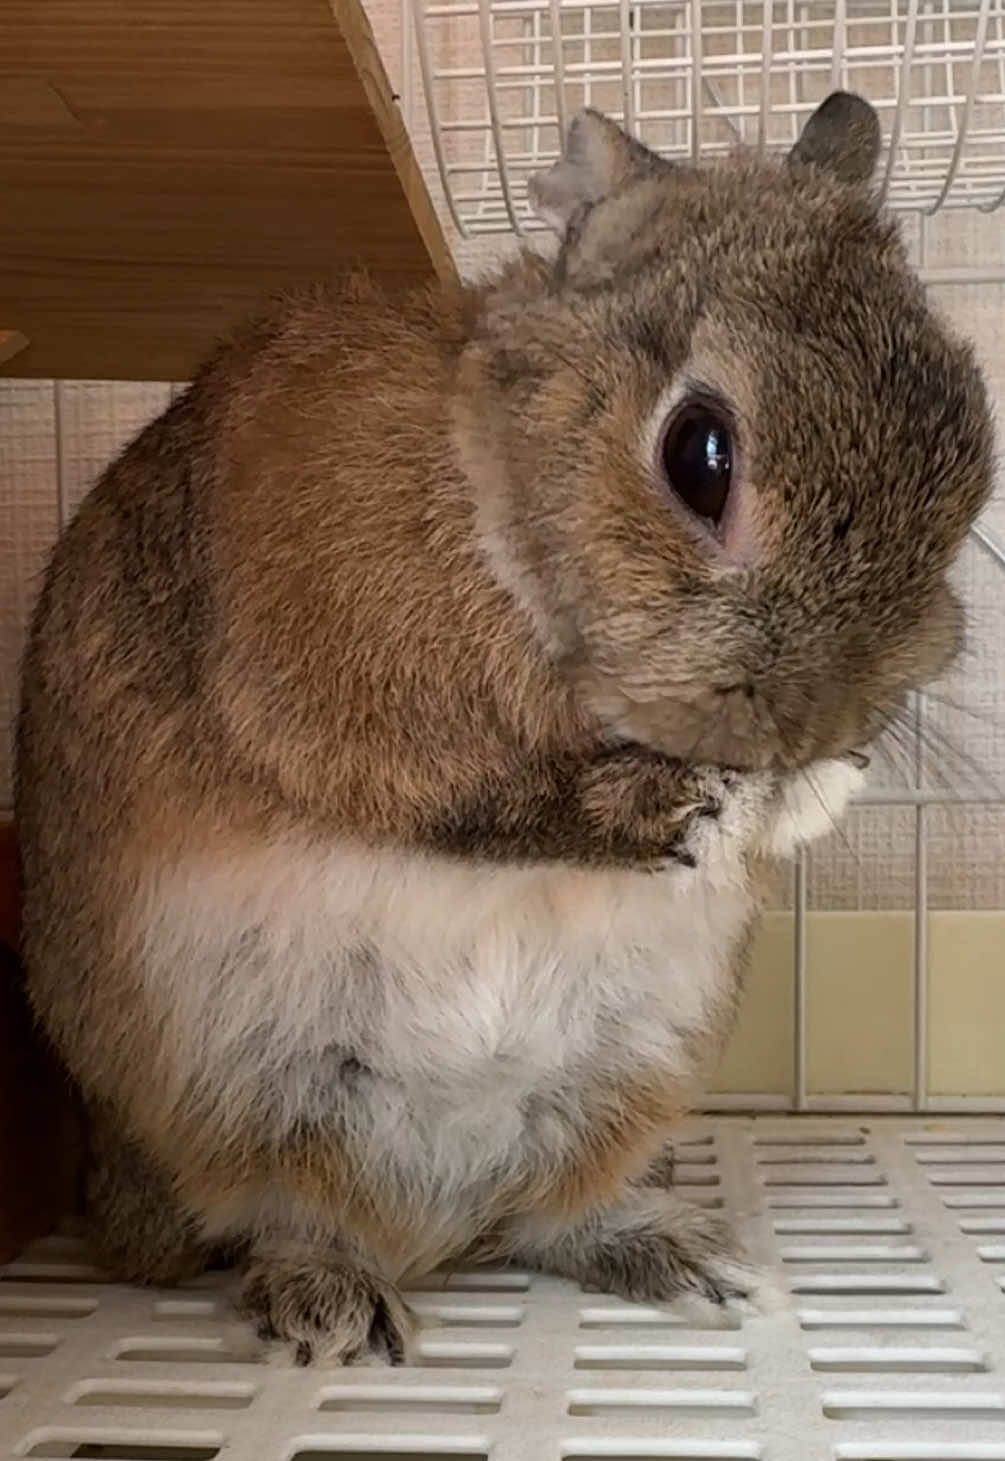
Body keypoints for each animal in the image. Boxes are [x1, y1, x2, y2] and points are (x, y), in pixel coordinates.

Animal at [17, 90, 992, 1366]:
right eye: (701, 453)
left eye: (971, 471)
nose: (815, 716)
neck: (495, 485)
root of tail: (426, 1228)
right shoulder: (355, 708)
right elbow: (484, 802)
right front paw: (681, 808)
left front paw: (806, 790)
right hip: (235, 1091)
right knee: (288, 1212)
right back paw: (335, 1309)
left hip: (623, 1072)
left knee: (539, 1215)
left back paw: (690, 1260)